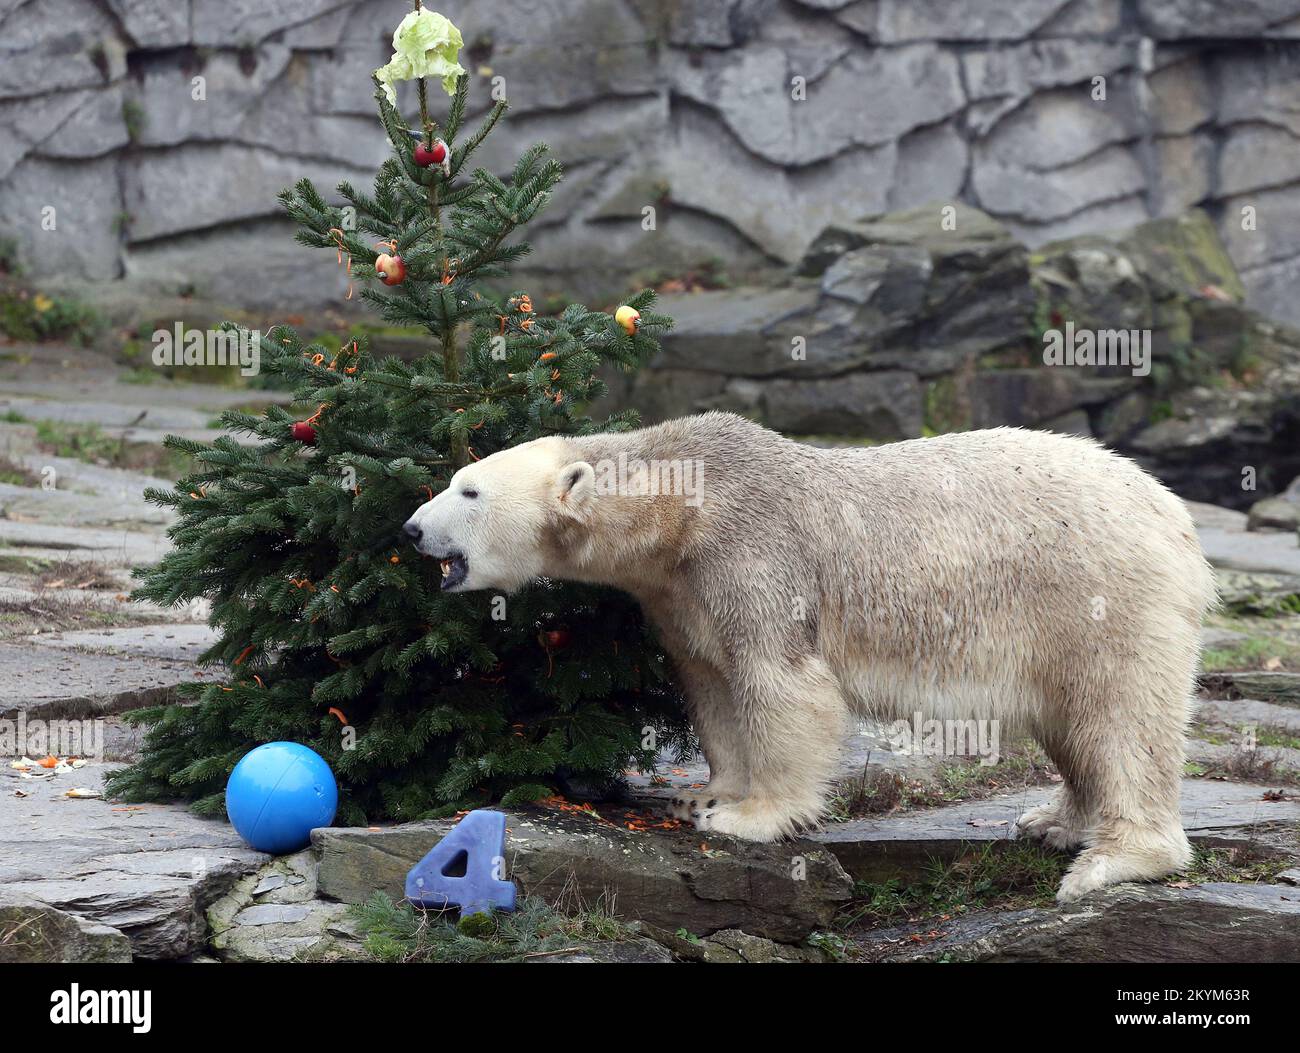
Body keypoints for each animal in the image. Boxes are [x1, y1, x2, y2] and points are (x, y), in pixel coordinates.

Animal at [400, 405, 1211, 899]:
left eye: (468, 491)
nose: (410, 528)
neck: (682, 505)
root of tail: (1175, 516)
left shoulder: (755, 555)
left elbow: (782, 685)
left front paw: (748, 818)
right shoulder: (680, 590)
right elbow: (712, 683)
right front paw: (706, 793)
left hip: (1099, 593)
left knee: (1121, 716)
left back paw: (1112, 860)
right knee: (1073, 721)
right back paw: (1054, 820)